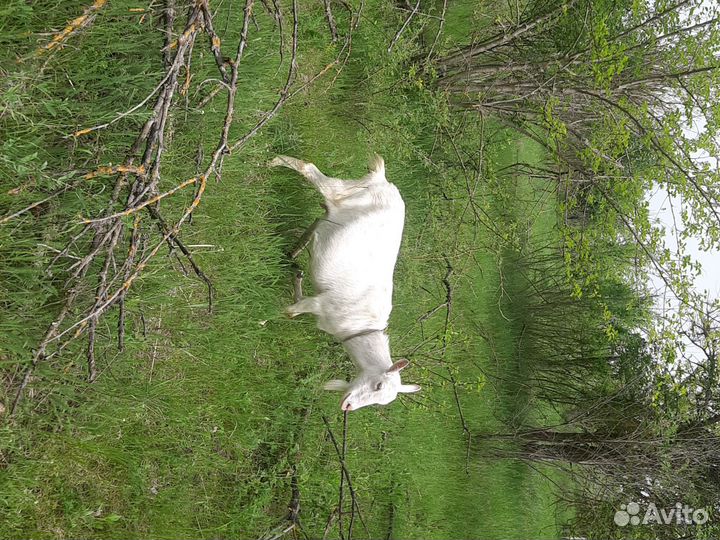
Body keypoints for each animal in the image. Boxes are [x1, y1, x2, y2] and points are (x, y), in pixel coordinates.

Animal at [269, 154, 421, 411]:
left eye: (380, 403)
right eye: (378, 385)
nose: (347, 407)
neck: (359, 325)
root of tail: (382, 180)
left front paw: (296, 277)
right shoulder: (320, 304)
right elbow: (290, 312)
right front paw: (267, 318)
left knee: (319, 218)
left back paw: (294, 251)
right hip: (342, 192)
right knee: (311, 170)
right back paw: (272, 163)